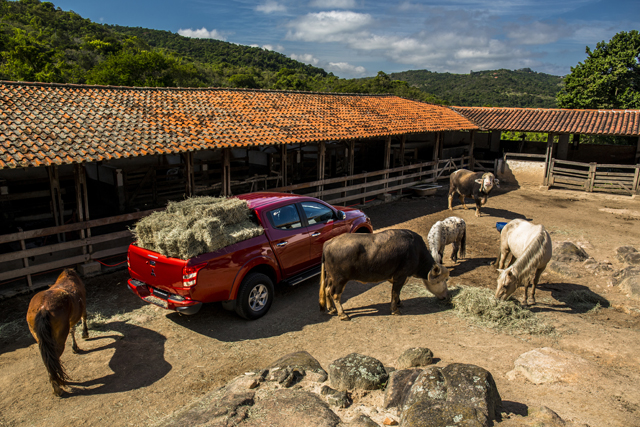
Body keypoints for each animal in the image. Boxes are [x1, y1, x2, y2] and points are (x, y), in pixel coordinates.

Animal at [318, 231, 450, 320]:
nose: (446, 296)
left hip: (331, 277)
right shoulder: (400, 276)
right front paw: (395, 309)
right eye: (441, 280)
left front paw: (399, 303)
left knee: (327, 289)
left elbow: (397, 293)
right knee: (335, 294)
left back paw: (331, 308)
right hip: (339, 279)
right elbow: (395, 292)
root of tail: (328, 243)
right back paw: (342, 314)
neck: (416, 251)